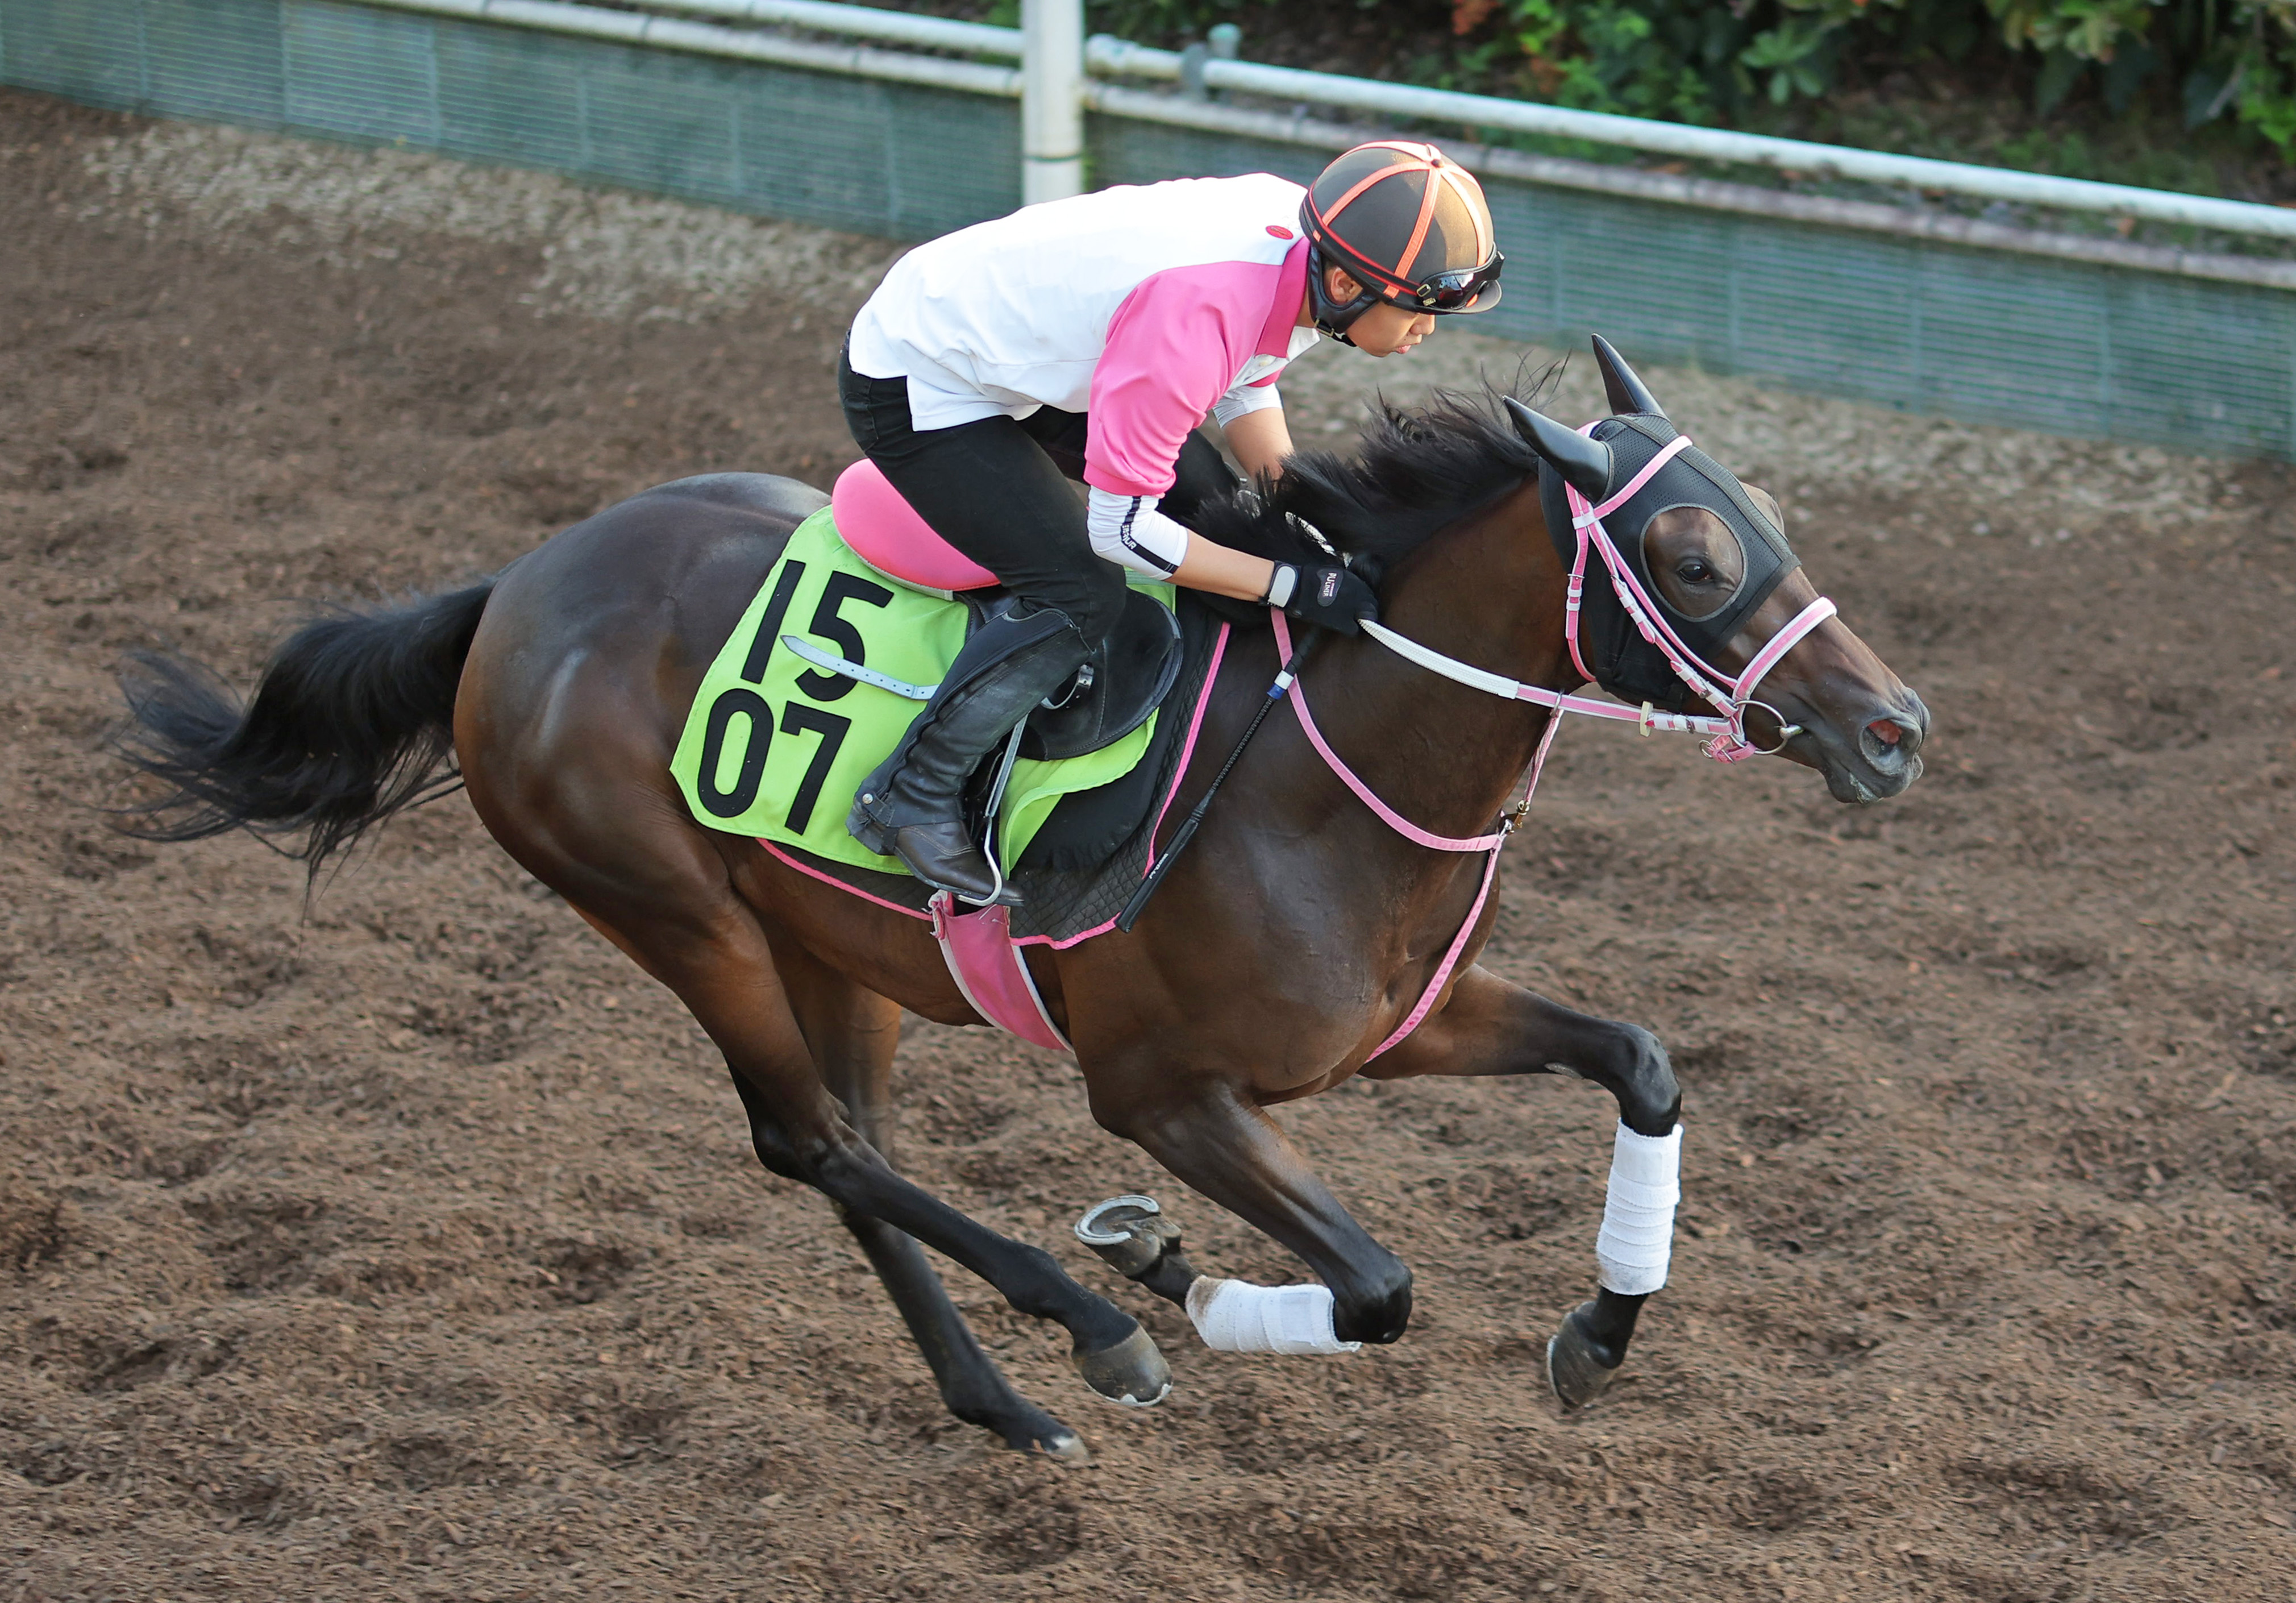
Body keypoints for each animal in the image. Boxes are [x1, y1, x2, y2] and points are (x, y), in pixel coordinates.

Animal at [111, 344, 1928, 1461]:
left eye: (1774, 518)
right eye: (1692, 555)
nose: (1895, 728)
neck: (1324, 767)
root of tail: (516, 587)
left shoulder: (1391, 1027)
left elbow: (1641, 1060)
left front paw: (1597, 1337)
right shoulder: (1160, 1089)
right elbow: (1377, 1288)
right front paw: (1164, 1271)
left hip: (827, 937)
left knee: (851, 1144)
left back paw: (1002, 1397)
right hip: (673, 909)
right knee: (810, 1141)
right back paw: (1085, 1331)